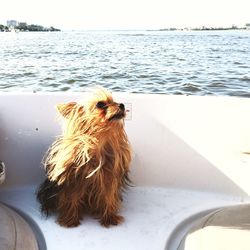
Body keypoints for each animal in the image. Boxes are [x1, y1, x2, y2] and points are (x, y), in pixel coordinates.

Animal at [36, 88, 132, 227]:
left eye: (115, 101)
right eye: (100, 104)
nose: (122, 105)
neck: (100, 140)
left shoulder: (109, 177)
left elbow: (109, 197)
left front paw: (109, 217)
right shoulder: (73, 180)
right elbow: (71, 198)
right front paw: (70, 220)